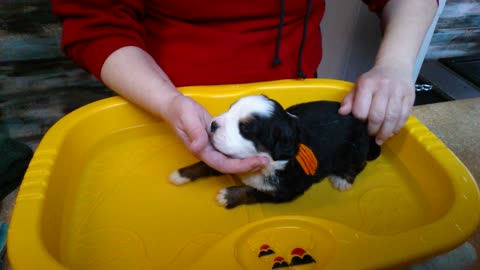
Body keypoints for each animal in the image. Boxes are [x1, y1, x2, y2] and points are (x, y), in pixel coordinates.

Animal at [171, 95, 380, 209]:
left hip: (356, 150)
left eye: (245, 128)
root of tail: (363, 123)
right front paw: (180, 174)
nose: (213, 125)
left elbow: (254, 191)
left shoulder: (287, 189)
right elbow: (207, 163)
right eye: (230, 108)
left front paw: (228, 195)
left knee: (360, 164)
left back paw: (342, 179)